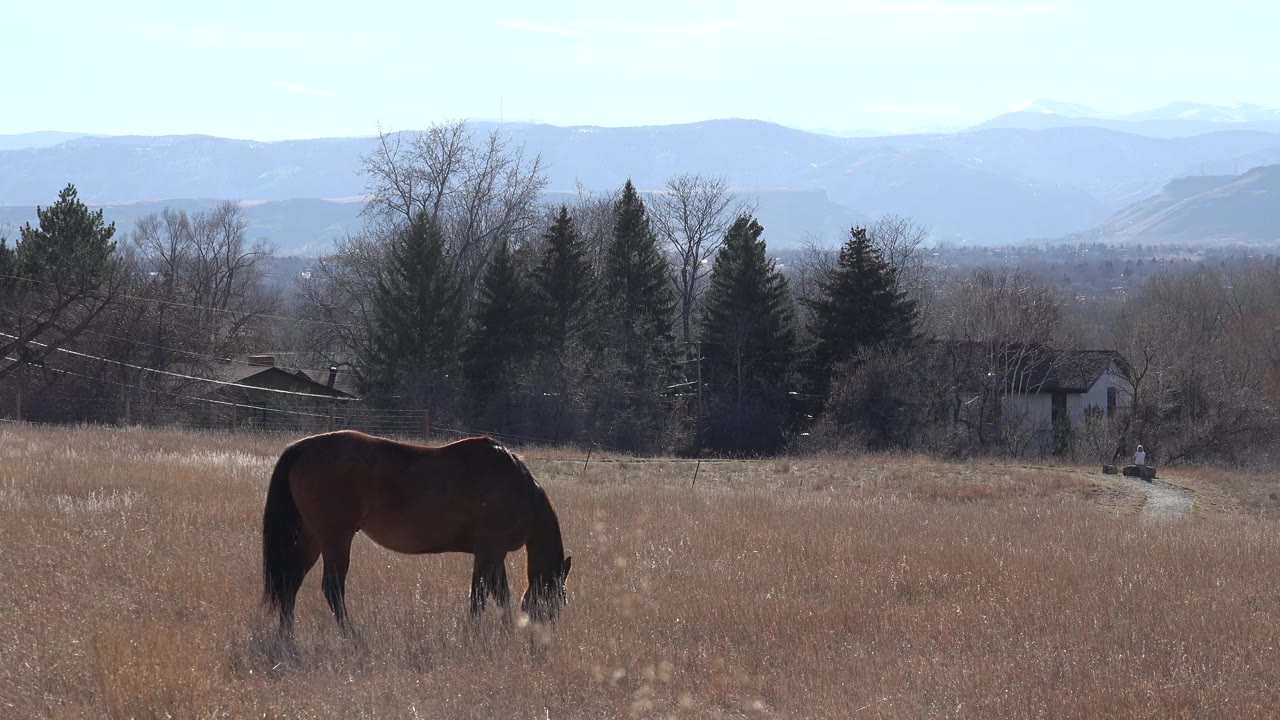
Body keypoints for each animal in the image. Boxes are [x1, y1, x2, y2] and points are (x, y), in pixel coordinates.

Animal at [261, 430, 571, 633]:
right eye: (557, 601)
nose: (542, 634)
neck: (519, 487)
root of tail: (303, 447)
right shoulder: (489, 551)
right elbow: (482, 596)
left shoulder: (493, 555)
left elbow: (498, 594)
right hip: (336, 538)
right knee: (332, 589)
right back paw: (353, 637)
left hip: (312, 538)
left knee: (290, 584)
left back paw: (287, 637)